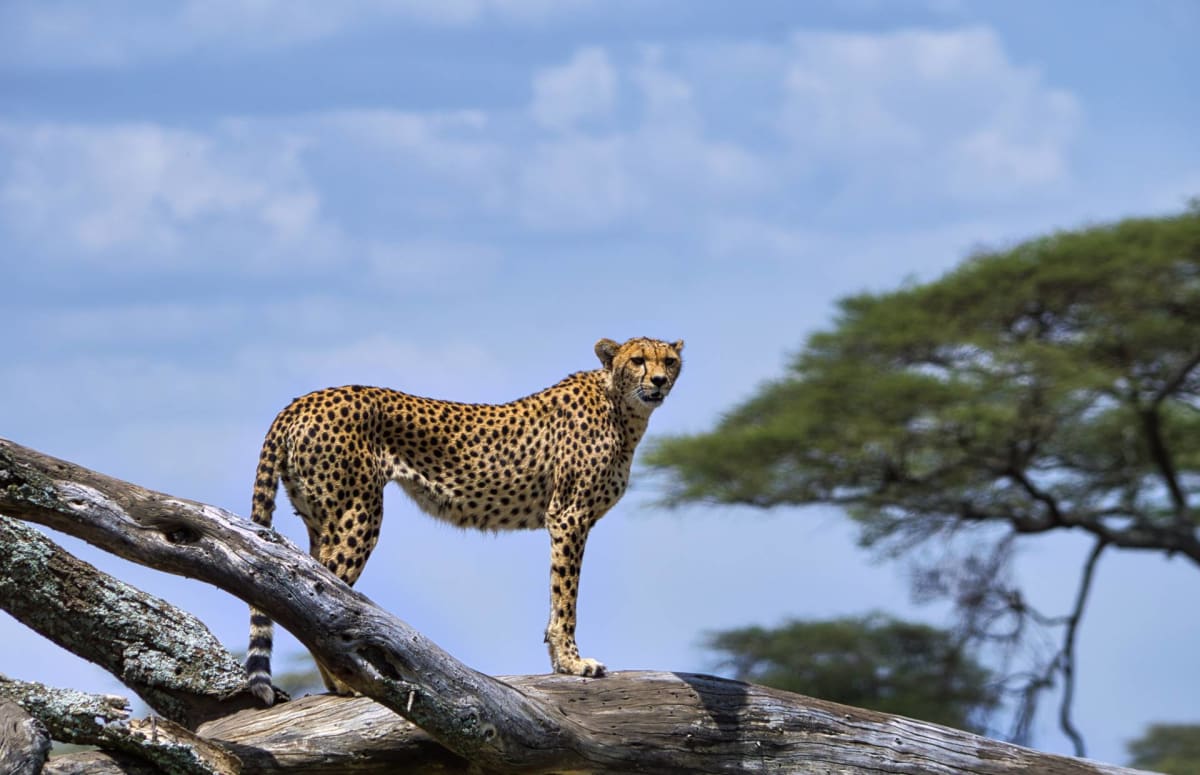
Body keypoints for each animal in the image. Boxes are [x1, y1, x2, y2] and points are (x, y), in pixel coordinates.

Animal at [243, 335, 686, 705]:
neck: (623, 407)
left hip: (321, 520)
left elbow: (557, 598)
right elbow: (566, 597)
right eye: (638, 360)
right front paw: (573, 664)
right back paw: (346, 683)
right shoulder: (568, 516)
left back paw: (338, 684)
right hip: (358, 514)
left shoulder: (570, 519)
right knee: (317, 597)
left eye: (670, 360)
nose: (660, 381)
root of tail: (302, 401)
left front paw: (560, 663)